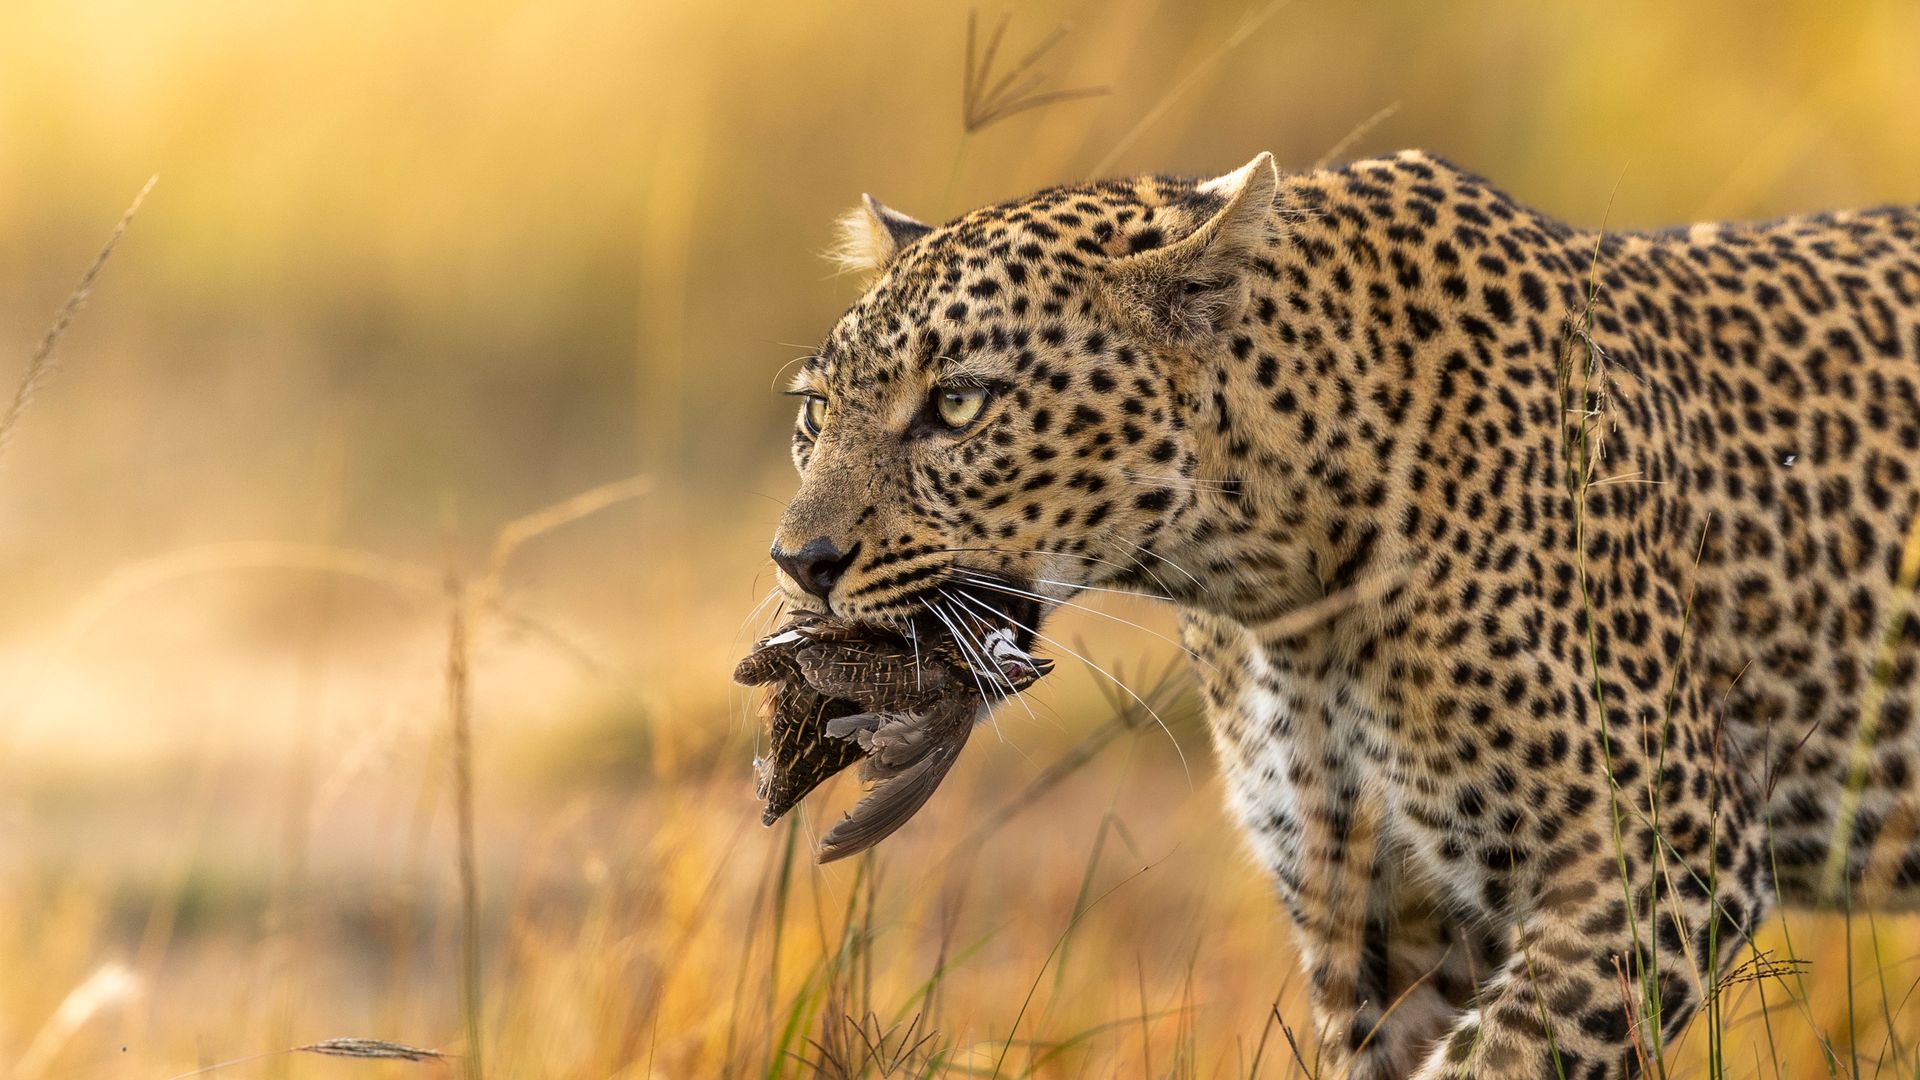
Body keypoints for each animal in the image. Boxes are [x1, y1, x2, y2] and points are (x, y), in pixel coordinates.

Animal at [762, 149, 1920, 1079]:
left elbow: (1497, 1063)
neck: (1281, 588)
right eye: (814, 413)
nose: (798, 561)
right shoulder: (1371, 914)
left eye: (958, 404)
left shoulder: (1660, 852)